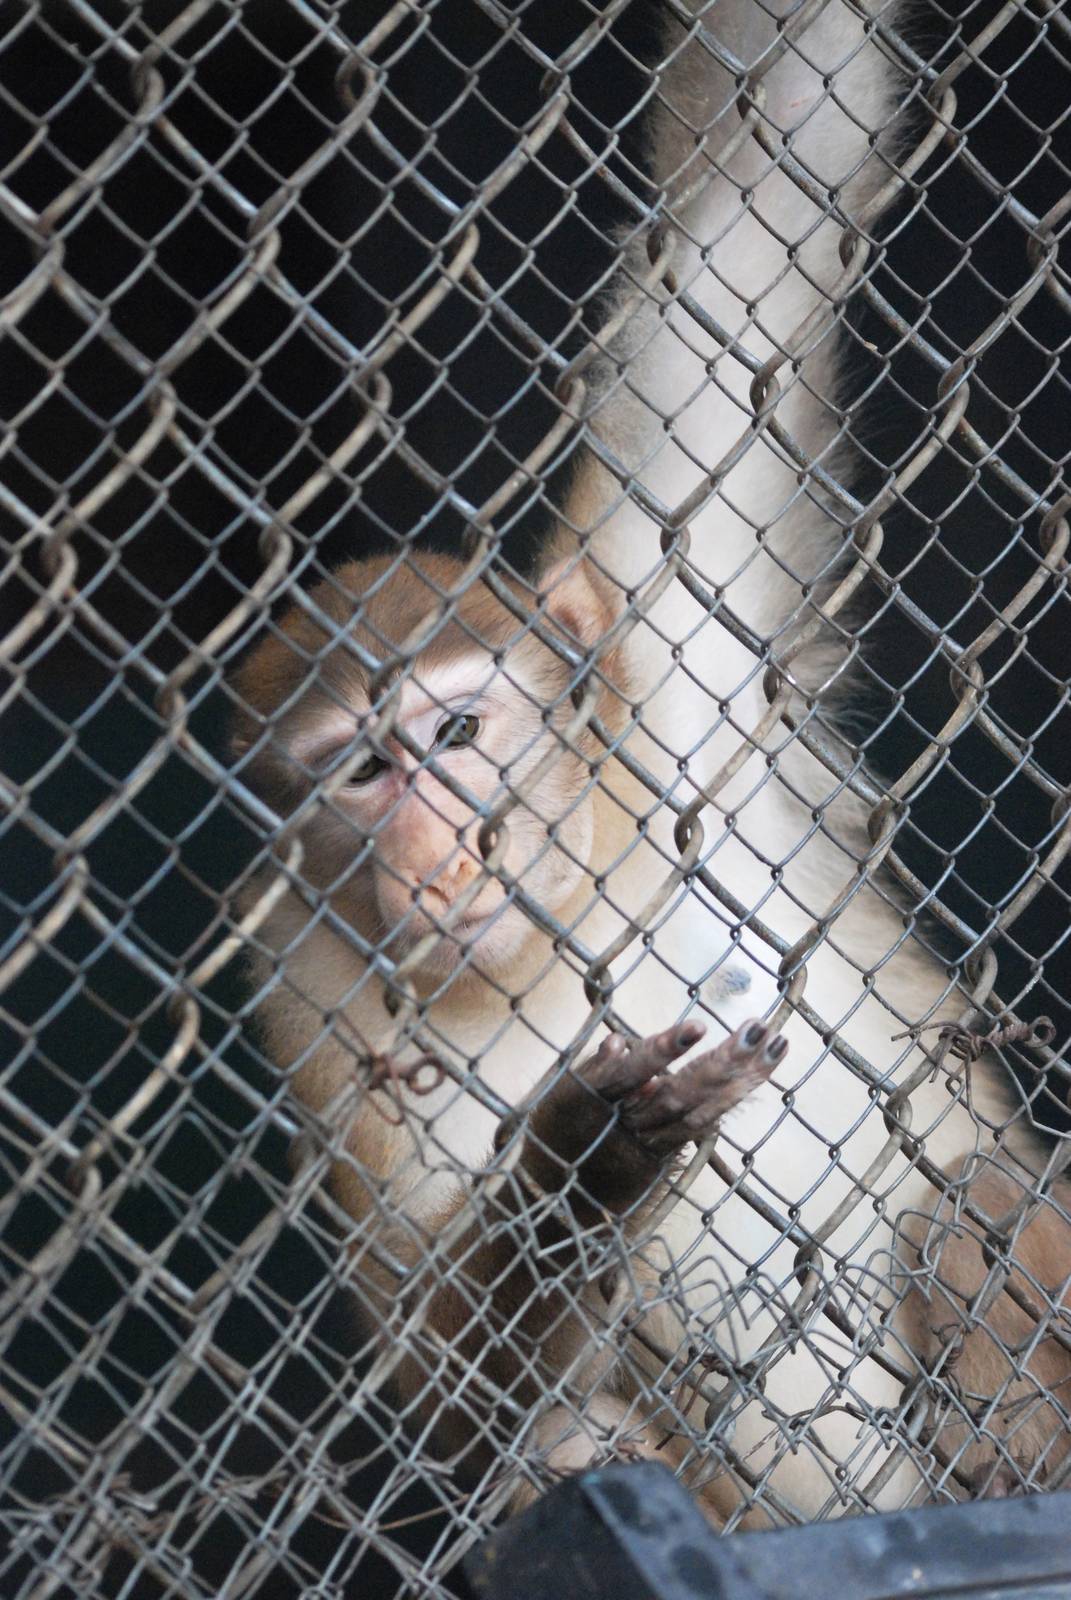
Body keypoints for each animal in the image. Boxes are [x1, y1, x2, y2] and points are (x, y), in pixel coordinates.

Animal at [229, 0, 1071, 1531]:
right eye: (360, 774)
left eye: (454, 734)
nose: (437, 856)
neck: (572, 927)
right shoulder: (303, 988)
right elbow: (446, 1397)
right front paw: (593, 1156)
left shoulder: (669, 630)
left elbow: (774, 150)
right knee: (564, 1439)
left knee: (970, 1191)